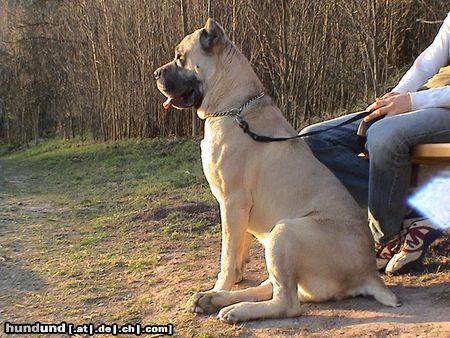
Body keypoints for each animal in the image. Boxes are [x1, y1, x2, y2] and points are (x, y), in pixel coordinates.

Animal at [154, 19, 398, 324]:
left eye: (180, 57)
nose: (155, 74)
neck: (233, 108)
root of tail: (369, 272)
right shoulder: (238, 209)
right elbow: (238, 249)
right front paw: (229, 282)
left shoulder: (232, 201)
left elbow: (227, 255)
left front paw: (221, 283)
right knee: (269, 287)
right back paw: (213, 301)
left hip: (284, 232)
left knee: (287, 302)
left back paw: (234, 308)